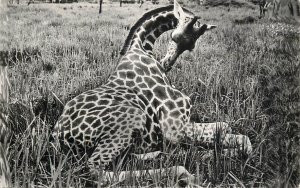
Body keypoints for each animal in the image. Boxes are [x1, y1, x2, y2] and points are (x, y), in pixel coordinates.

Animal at [52, 0, 252, 185]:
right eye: (174, 36)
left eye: (191, 46)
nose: (166, 63)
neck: (142, 48)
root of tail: (57, 137)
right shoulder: (174, 129)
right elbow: (225, 133)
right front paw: (206, 155)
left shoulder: (182, 125)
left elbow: (235, 135)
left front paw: (213, 153)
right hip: (132, 117)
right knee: (95, 171)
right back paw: (182, 172)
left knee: (123, 160)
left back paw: (157, 154)